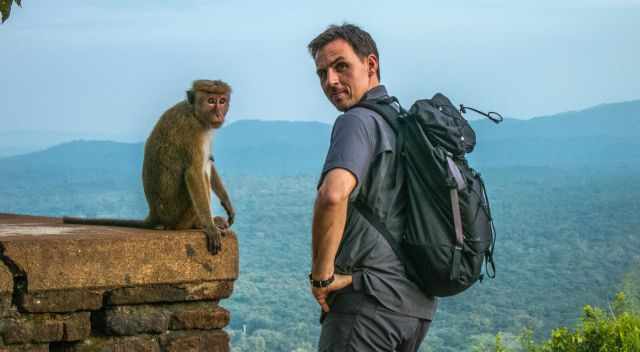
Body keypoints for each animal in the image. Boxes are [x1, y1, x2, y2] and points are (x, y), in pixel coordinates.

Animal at [63, 80, 235, 256]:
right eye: (211, 101)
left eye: (222, 101)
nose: (219, 114)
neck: (194, 112)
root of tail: (155, 215)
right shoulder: (193, 131)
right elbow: (194, 173)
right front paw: (210, 228)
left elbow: (209, 160)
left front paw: (226, 201)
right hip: (178, 216)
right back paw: (201, 224)